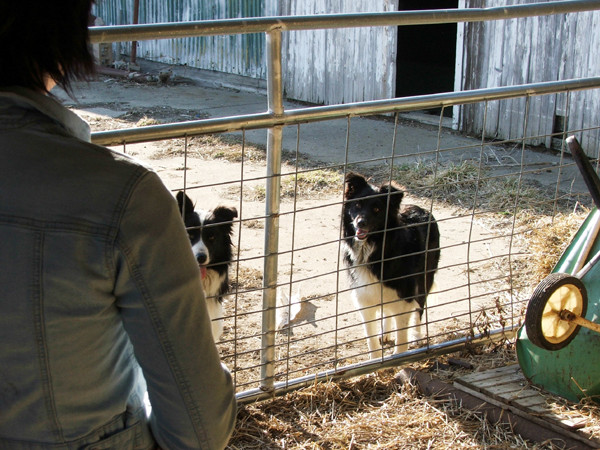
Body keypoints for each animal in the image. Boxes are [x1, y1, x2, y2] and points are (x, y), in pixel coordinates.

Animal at [342, 172, 440, 358]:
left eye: (377, 209)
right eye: (357, 204)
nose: (360, 223)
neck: (374, 248)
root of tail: (421, 208)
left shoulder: (405, 296)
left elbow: (401, 339)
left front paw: (400, 356)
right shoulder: (364, 298)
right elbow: (371, 341)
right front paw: (374, 360)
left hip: (425, 278)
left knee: (419, 307)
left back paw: (416, 336)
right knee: (387, 311)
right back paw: (385, 333)